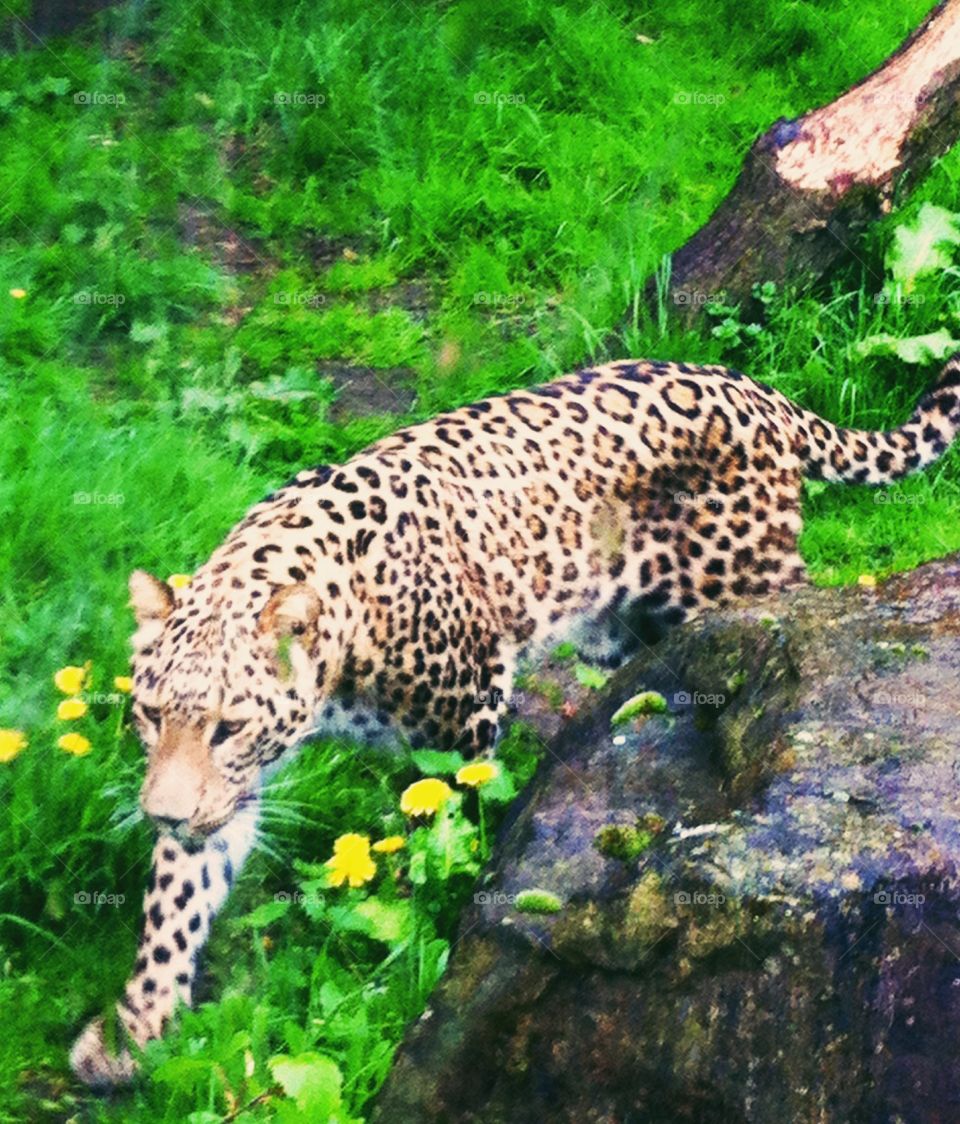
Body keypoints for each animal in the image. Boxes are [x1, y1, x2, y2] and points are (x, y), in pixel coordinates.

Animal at [70, 355, 960, 1088]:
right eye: (149, 713)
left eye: (227, 726)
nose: (161, 812)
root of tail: (757, 392)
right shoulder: (225, 794)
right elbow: (176, 898)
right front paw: (136, 1027)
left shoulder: (464, 711)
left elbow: (443, 834)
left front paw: (433, 935)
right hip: (621, 628)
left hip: (746, 585)